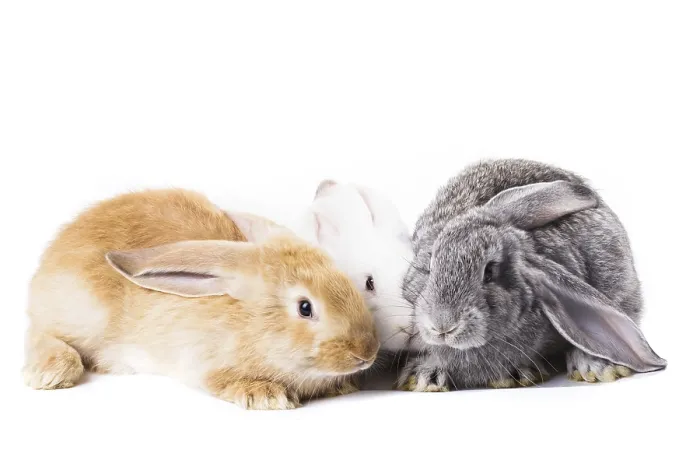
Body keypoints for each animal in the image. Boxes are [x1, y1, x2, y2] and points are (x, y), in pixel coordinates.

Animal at [22, 188, 379, 409]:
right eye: (305, 308)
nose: (367, 352)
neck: (252, 325)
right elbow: (220, 381)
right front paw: (264, 395)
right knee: (41, 333)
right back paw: (51, 373)